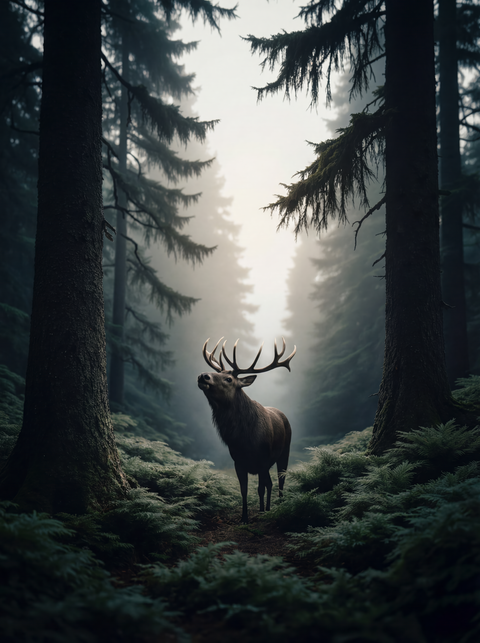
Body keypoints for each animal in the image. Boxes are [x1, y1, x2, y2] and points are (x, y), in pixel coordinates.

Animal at [197, 337, 296, 524]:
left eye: (229, 379)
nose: (203, 375)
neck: (244, 440)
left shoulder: (263, 459)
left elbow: (260, 488)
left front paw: (262, 512)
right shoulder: (238, 461)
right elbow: (244, 490)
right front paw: (245, 517)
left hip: (284, 451)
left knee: (280, 480)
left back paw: (278, 506)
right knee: (271, 483)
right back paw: (268, 508)